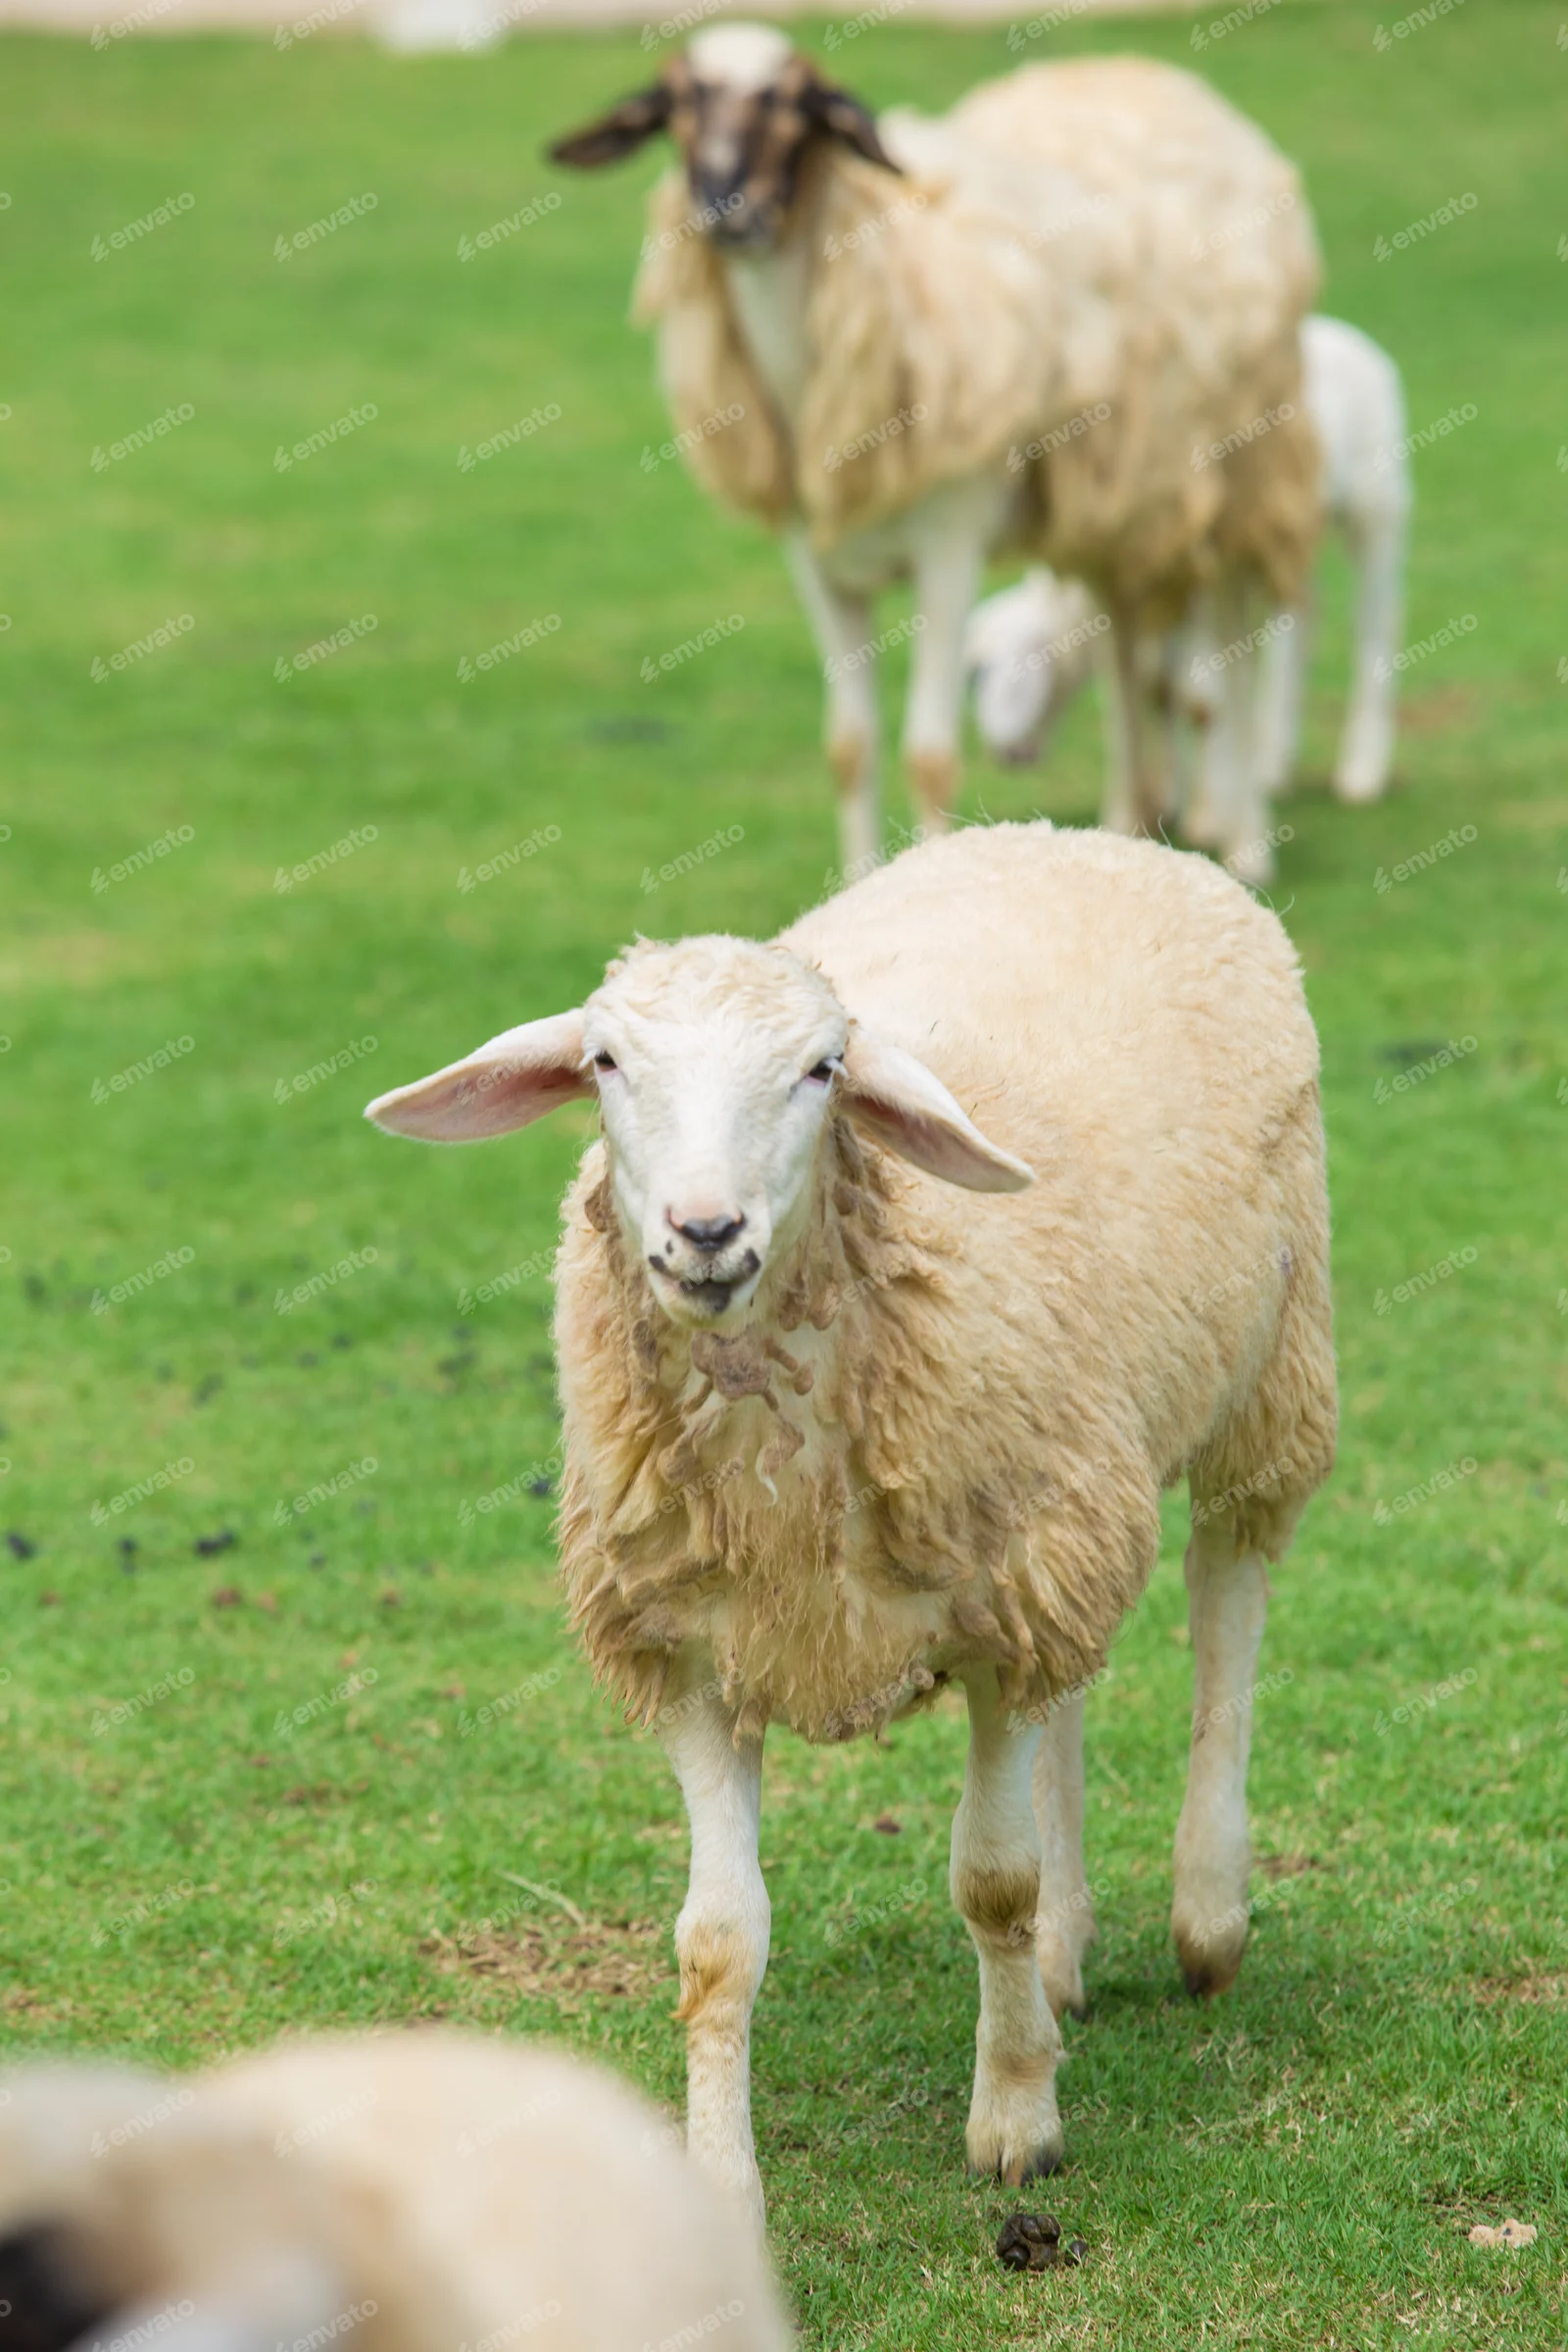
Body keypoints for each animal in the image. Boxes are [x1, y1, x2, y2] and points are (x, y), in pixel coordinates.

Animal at [366, 819, 1338, 2224]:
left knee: (1229, 1597)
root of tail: (1081, 834)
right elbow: (716, 1943)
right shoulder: (694, 1646)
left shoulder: (998, 1612)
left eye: (822, 1069)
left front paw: (1015, 2121)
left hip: (1268, 1369)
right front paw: (722, 2182)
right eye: (605, 1061)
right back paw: (1066, 1954)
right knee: (1078, 1688)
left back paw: (1206, 1913)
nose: (704, 1232)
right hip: (1072, 1497)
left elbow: (989, 1879)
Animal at [547, 26, 1321, 878]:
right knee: (1120, 650)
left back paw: (1246, 840)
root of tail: (1137, 71)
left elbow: (930, 755)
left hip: (1240, 467)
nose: (728, 211)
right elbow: (848, 749)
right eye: (677, 102)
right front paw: (854, 889)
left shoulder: (949, 546)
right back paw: (1129, 822)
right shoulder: (819, 561)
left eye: (798, 103)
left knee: (1231, 655)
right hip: (1113, 496)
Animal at [966, 316, 1411, 861]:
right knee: (1305, 612)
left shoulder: (1196, 581)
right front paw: (1157, 805)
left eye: (989, 670)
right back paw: (1272, 759)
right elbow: (1150, 688)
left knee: (1378, 620)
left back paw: (1361, 770)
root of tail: (1351, 335)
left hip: (1378, 505)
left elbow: (1195, 696)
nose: (1006, 756)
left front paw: (1208, 815)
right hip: (1289, 535)